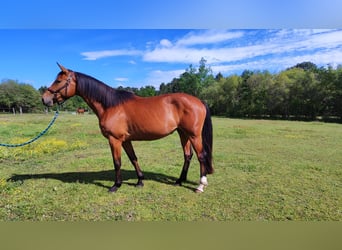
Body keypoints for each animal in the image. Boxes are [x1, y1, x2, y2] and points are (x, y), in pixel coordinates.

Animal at [42, 63, 214, 192]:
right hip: (183, 133)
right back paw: (179, 180)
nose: (45, 99)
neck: (110, 105)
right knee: (187, 155)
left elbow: (117, 162)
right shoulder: (125, 140)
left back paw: (200, 185)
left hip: (194, 135)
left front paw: (116, 185)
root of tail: (198, 101)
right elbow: (133, 158)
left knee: (201, 156)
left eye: (58, 81)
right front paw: (140, 181)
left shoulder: (114, 140)